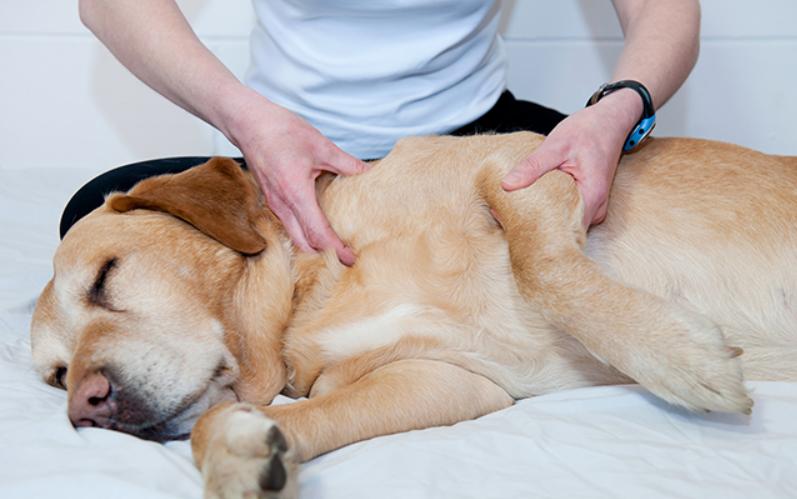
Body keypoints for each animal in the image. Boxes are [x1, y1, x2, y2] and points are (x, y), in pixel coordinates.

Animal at [28, 134, 792, 499]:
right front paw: (239, 457)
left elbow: (541, 267)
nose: (86, 406)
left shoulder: (522, 164)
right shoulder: (444, 380)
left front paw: (680, 358)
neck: (312, 295)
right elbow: (242, 421)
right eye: (55, 376)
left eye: (106, 276)